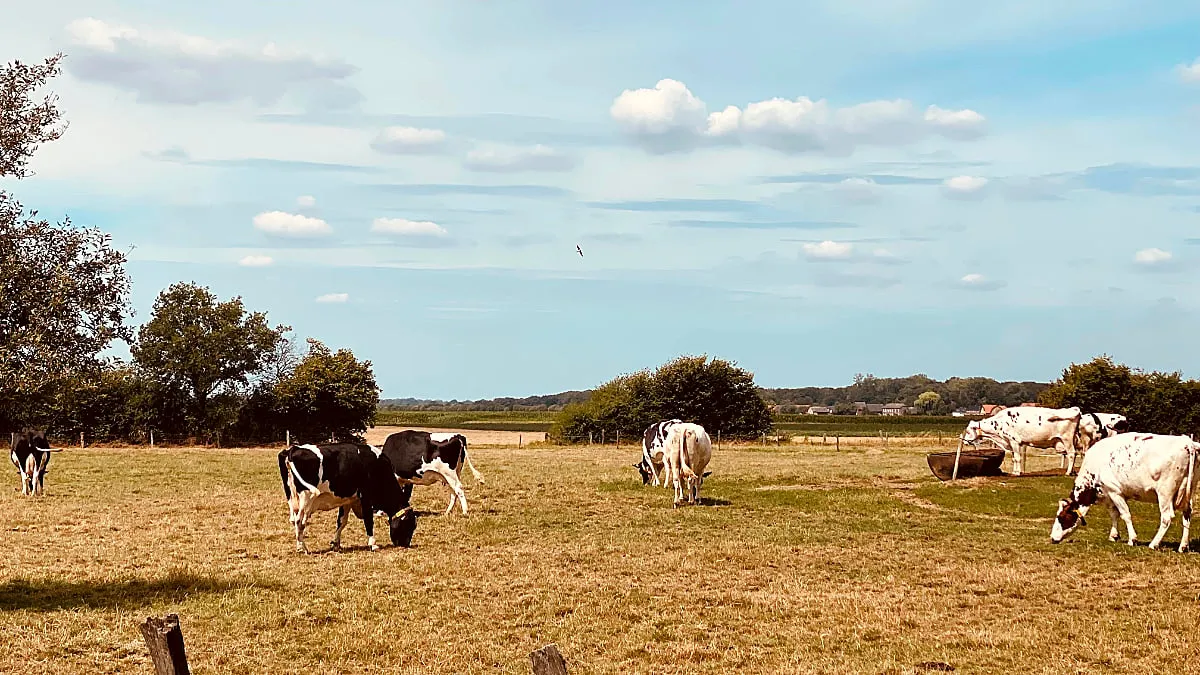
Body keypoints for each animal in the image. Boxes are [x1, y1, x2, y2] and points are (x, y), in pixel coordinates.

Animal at [276, 441, 417, 552]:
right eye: (410, 525)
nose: (405, 545)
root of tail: (293, 449)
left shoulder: (349, 500)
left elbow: (341, 521)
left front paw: (336, 544)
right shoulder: (365, 496)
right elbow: (369, 520)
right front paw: (373, 544)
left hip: (292, 498)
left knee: (294, 520)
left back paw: (299, 546)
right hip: (306, 498)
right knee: (300, 521)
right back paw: (303, 548)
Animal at [1046, 432, 1195, 550]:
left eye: (1061, 517)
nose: (1052, 538)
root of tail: (1188, 443)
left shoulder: (1115, 492)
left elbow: (1125, 515)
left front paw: (1132, 539)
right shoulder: (1109, 494)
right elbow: (1114, 514)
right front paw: (1114, 535)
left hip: (1164, 493)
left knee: (1166, 518)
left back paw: (1154, 544)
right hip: (1188, 492)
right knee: (1187, 514)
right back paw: (1183, 546)